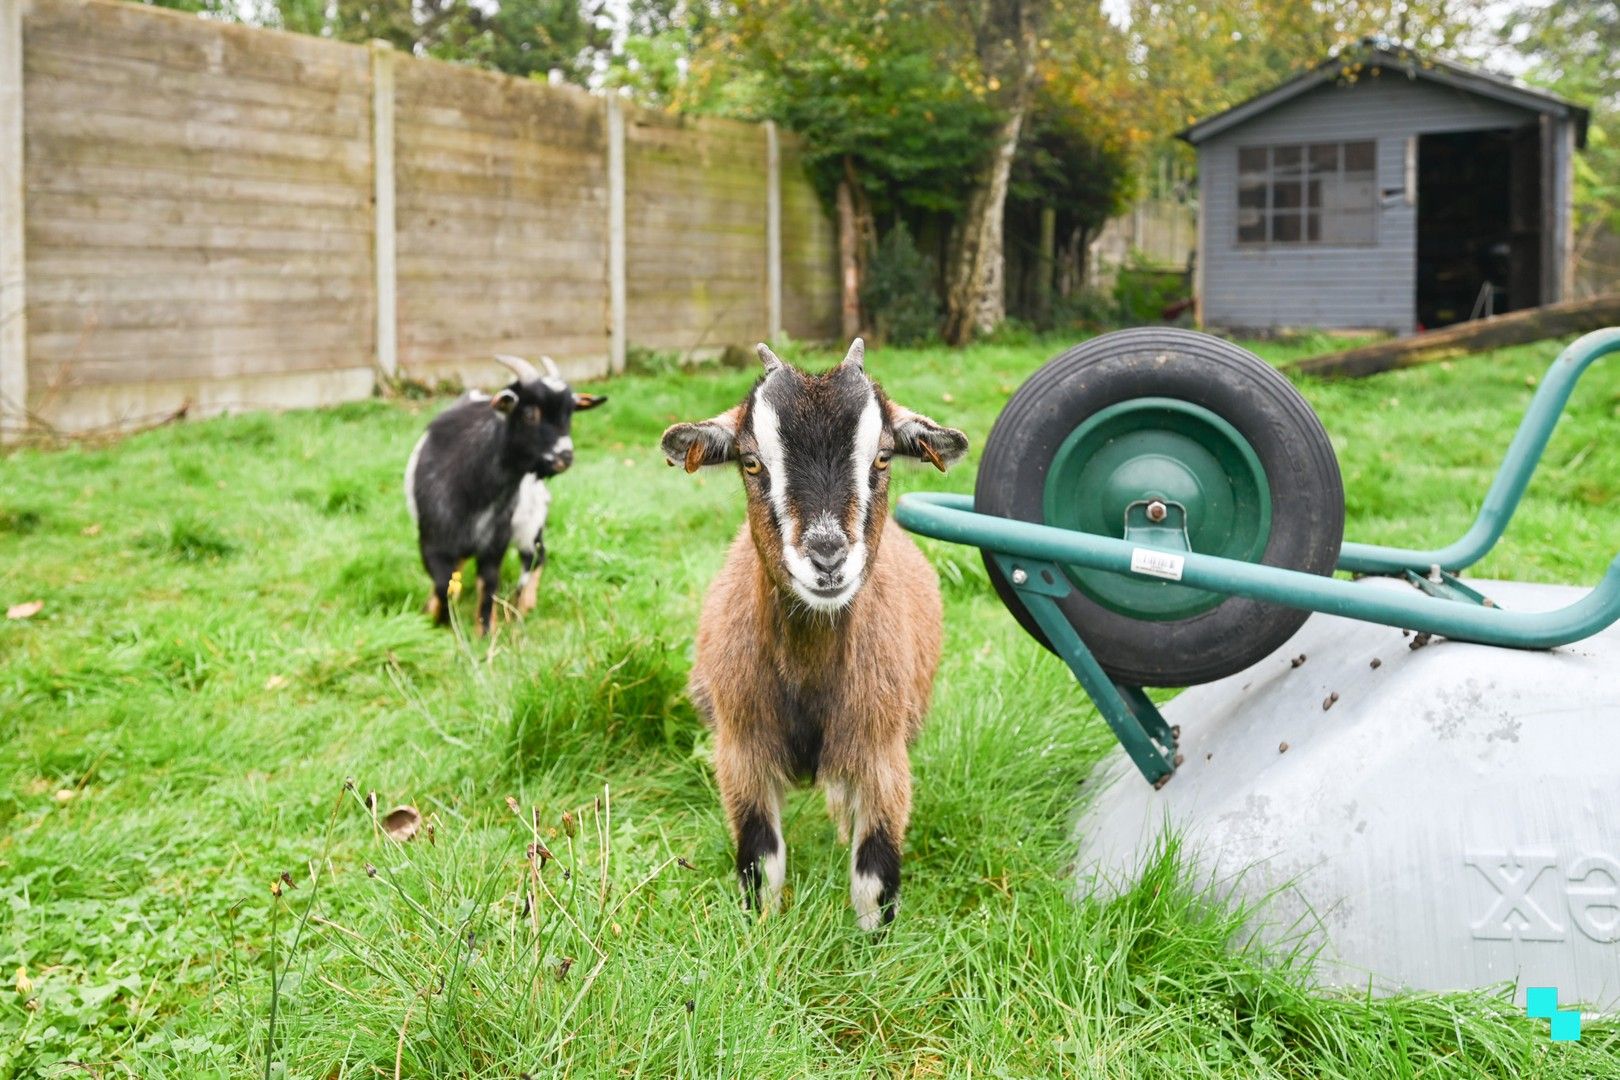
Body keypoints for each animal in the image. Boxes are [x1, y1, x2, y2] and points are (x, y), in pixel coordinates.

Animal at [405, 354, 609, 634]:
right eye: (530, 413)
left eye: (569, 413)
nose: (565, 457)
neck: (474, 490)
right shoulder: (432, 541)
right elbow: (443, 583)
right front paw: (436, 618)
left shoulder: (496, 540)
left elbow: (488, 584)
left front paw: (484, 631)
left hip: (530, 523)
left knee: (536, 556)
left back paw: (523, 603)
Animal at [654, 340, 959, 932]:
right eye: (751, 462)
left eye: (883, 457)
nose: (827, 557)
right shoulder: (742, 752)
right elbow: (759, 866)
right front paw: (762, 937)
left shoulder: (881, 754)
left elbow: (874, 879)